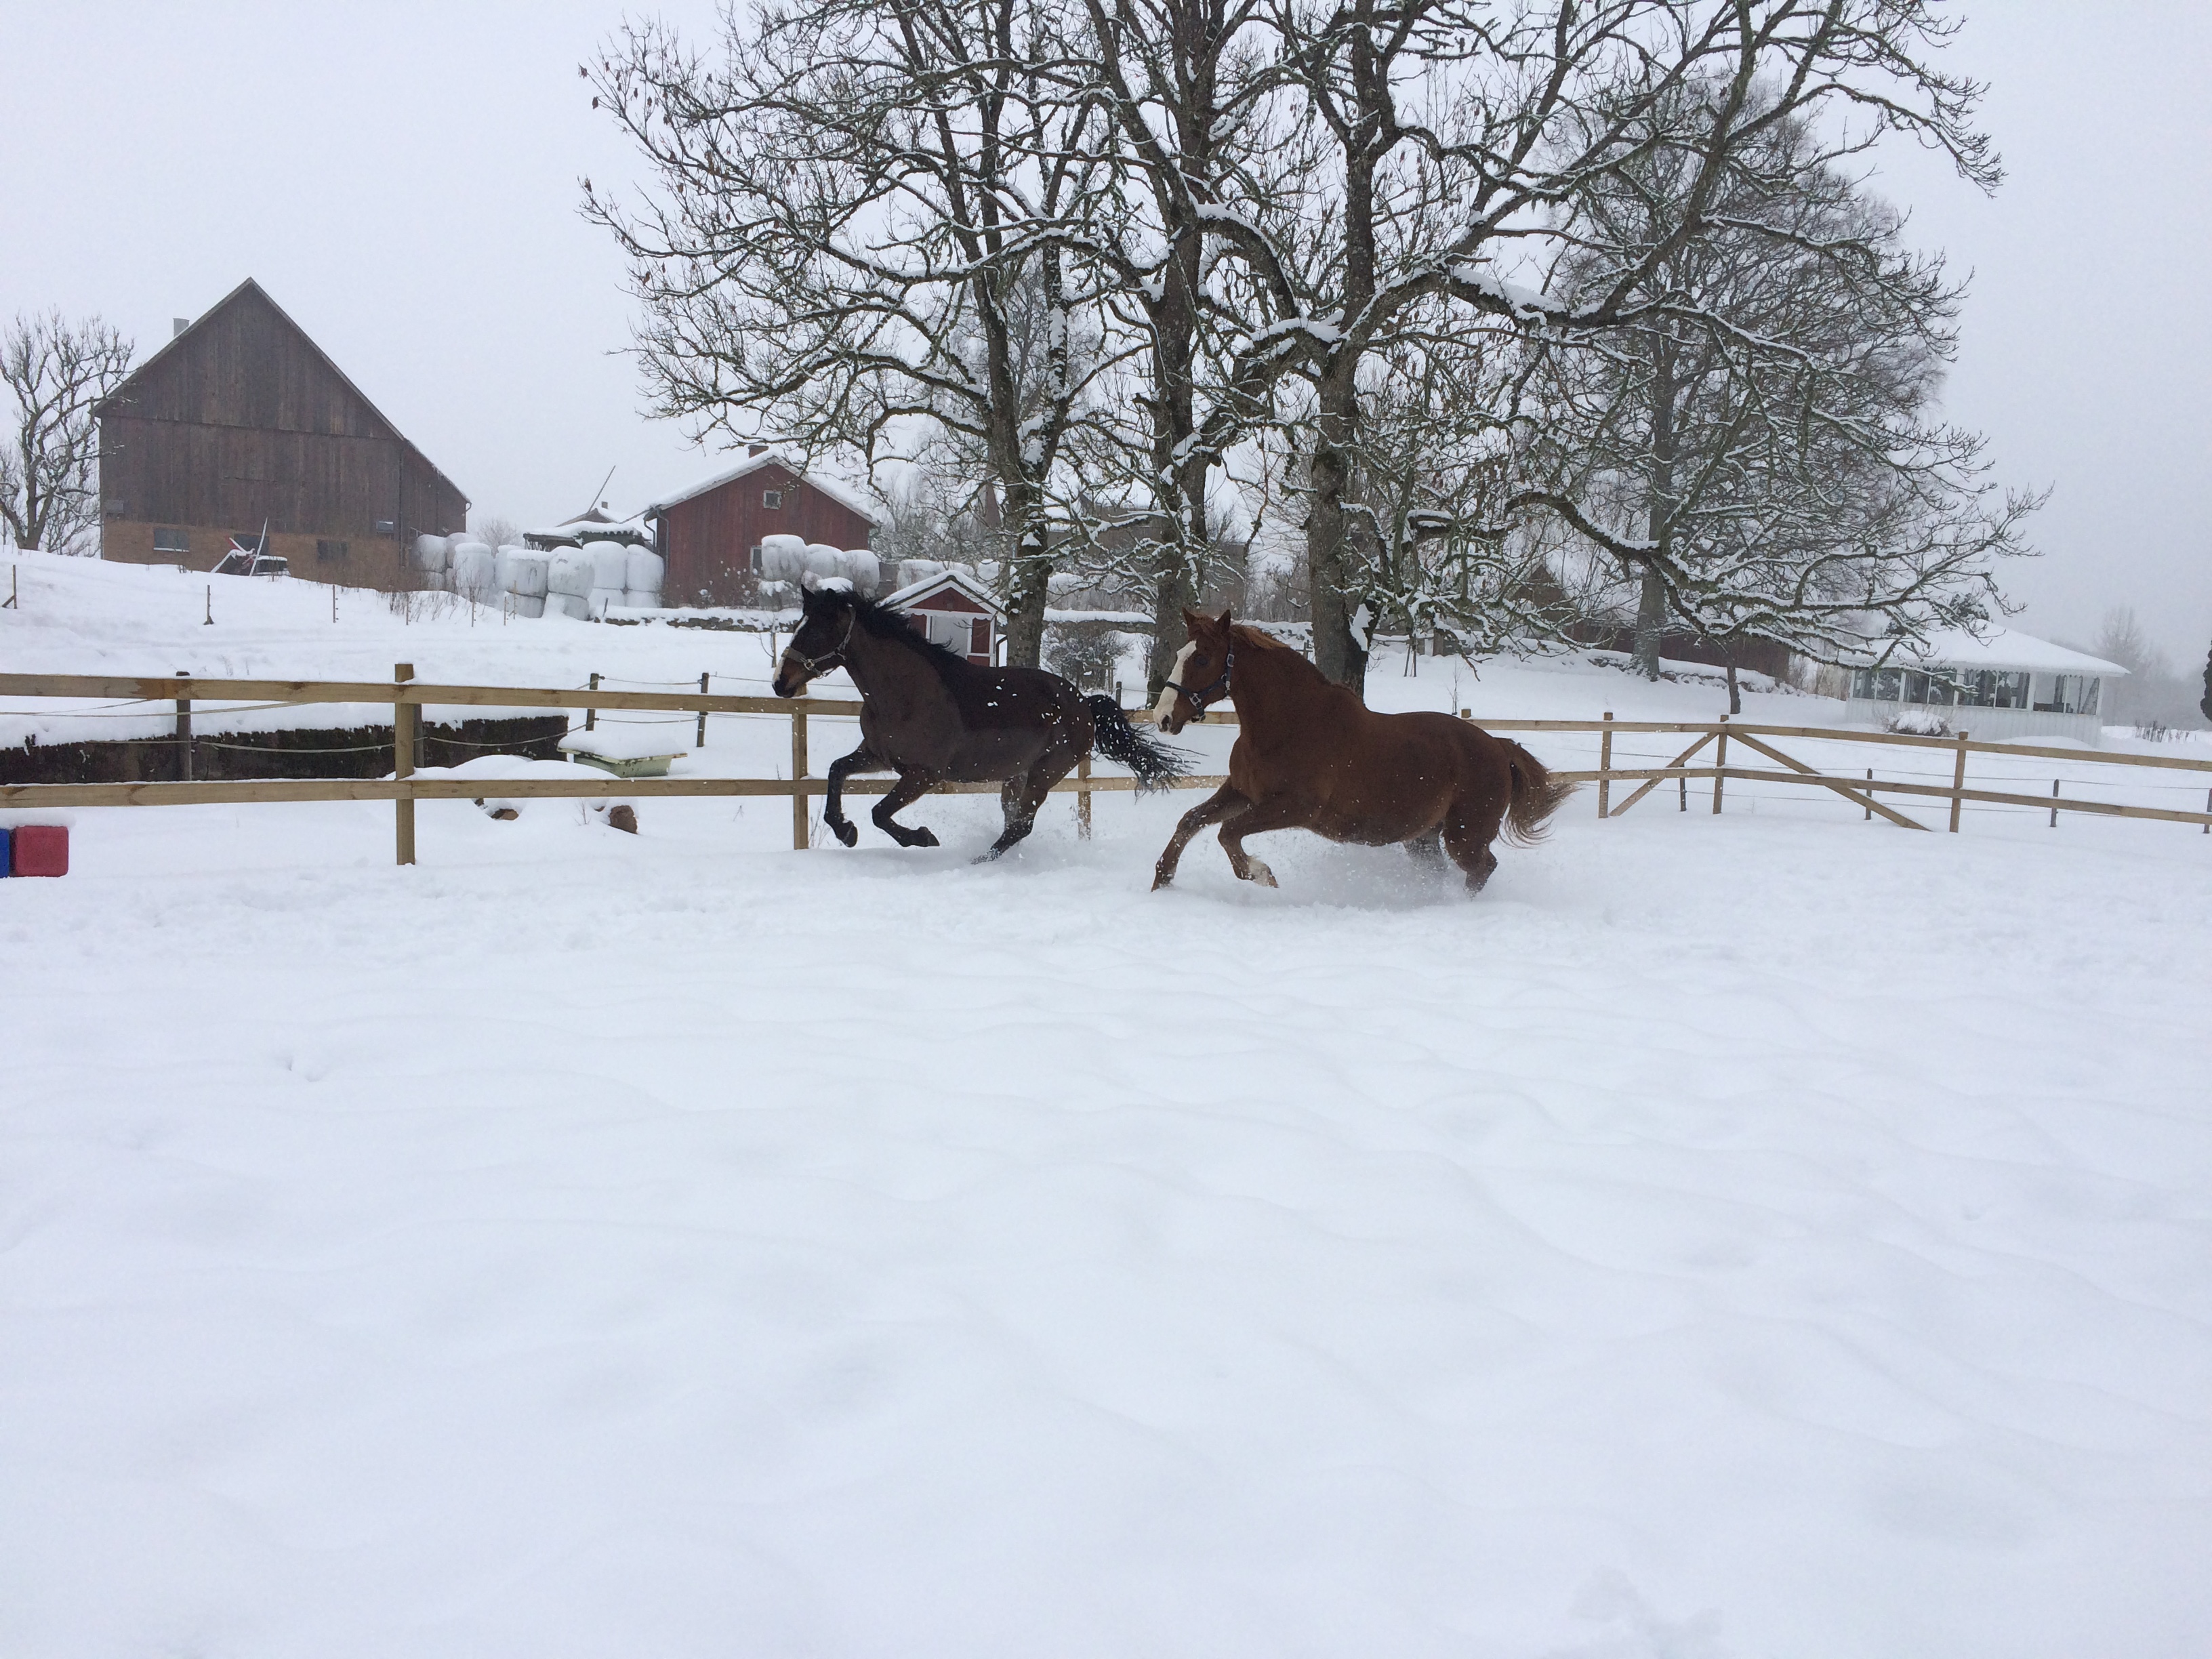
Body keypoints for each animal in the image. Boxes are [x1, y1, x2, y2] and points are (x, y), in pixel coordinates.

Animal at [772, 582, 1189, 860]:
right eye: (799, 625)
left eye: (816, 630)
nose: (780, 683)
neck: (903, 693)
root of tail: (1083, 703)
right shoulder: (877, 756)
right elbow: (835, 772)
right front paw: (846, 831)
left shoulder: (924, 774)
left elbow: (879, 813)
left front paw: (923, 837)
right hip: (1016, 776)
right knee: (1013, 822)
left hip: (1045, 773)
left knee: (1021, 825)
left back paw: (978, 860)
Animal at [1148, 608, 1575, 894]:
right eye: (1181, 654)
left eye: (1202, 658)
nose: (1163, 717)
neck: (1288, 724)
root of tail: (1499, 748)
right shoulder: (1240, 792)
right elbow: (1191, 821)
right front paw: (1162, 880)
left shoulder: (1294, 806)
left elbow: (1228, 833)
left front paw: (1261, 874)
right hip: (1423, 838)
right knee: (1446, 871)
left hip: (1465, 836)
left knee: (1482, 869)